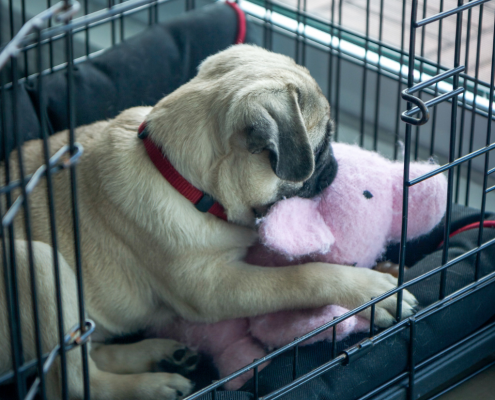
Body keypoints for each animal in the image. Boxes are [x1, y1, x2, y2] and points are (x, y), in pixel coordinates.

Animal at [0, 44, 418, 400]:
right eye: (323, 143)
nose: (335, 165)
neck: (182, 179)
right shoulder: (214, 290)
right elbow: (303, 276)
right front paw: (371, 292)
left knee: (91, 356)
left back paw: (160, 354)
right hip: (36, 262)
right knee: (74, 383)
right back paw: (152, 385)